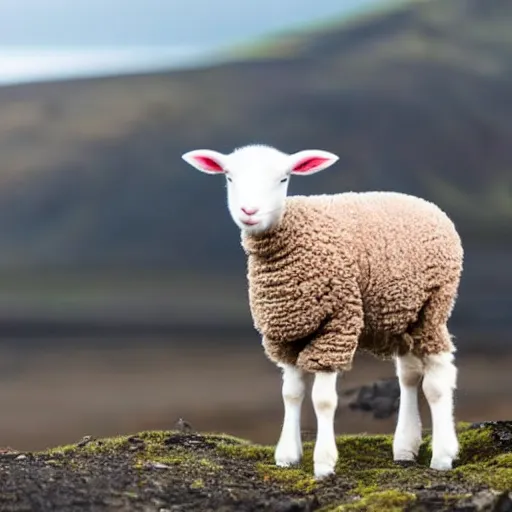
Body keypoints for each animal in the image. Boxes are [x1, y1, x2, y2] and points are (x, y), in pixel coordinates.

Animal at [181, 144, 464, 480]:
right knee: (408, 376)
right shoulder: (286, 333)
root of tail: (426, 204)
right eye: (229, 177)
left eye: (283, 178)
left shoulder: (336, 326)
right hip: (400, 315)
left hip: (432, 307)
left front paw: (325, 463)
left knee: (437, 380)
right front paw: (287, 456)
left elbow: (324, 400)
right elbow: (291, 393)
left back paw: (443, 455)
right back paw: (405, 449)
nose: (249, 211)